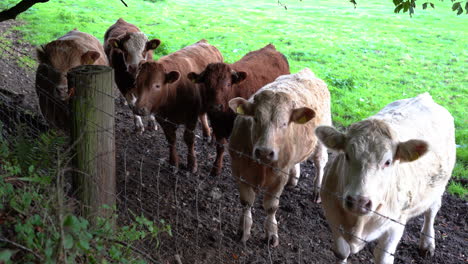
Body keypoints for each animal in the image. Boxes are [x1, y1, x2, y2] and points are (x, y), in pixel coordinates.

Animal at [128, 38, 223, 173]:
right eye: (136, 83)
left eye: (157, 85)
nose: (138, 109)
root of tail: (204, 42)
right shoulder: (162, 118)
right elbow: (171, 139)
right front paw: (173, 163)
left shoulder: (191, 117)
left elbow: (189, 139)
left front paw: (192, 164)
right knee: (203, 114)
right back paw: (206, 133)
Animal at [186, 43, 288, 175]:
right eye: (206, 83)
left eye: (228, 84)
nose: (215, 106)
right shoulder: (217, 123)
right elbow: (220, 146)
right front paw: (216, 168)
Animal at [228, 68, 330, 248]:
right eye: (256, 119)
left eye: (284, 123)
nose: (264, 152)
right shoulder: (239, 169)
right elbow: (246, 201)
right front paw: (244, 230)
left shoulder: (279, 176)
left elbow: (271, 207)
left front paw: (271, 233)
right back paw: (294, 179)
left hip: (320, 139)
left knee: (320, 163)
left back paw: (317, 190)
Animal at [316, 93, 456, 264]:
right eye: (347, 155)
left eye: (388, 162)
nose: (358, 201)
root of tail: (424, 97)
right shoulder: (332, 213)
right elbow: (342, 251)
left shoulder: (395, 225)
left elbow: (383, 257)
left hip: (439, 186)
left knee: (432, 210)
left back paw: (427, 243)